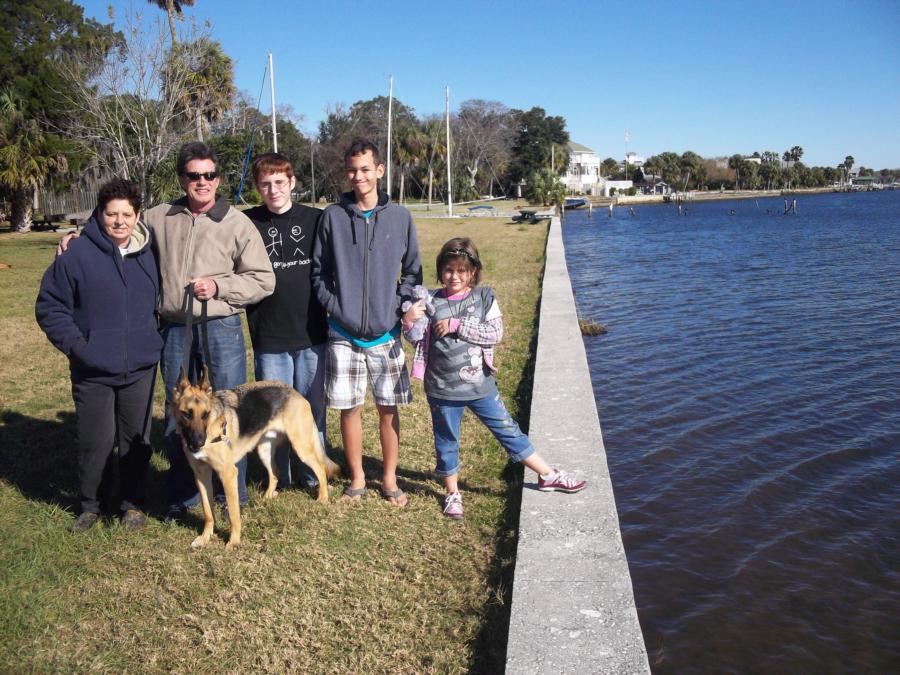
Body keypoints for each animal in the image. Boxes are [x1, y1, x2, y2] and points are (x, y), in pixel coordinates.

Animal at [171, 370, 340, 548]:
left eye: (206, 414)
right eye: (186, 414)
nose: (198, 443)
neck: (211, 429)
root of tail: (294, 392)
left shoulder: (228, 475)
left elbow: (234, 515)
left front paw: (233, 542)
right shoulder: (201, 475)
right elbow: (208, 512)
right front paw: (205, 538)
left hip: (301, 447)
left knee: (320, 469)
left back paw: (323, 498)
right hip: (264, 450)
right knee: (275, 473)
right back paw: (267, 498)